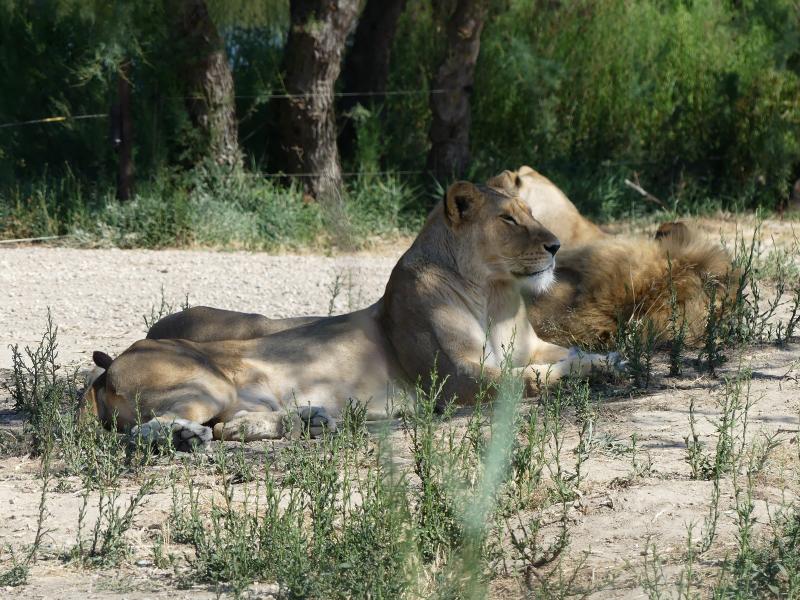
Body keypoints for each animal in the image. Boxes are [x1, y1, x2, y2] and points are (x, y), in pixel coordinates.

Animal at [82, 181, 620, 449]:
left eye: (532, 213)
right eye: (508, 219)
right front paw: (593, 370)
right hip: (207, 384)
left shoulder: (529, 345)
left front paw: (608, 359)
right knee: (146, 432)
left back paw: (313, 419)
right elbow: (531, 378)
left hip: (245, 396)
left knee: (232, 426)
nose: (555, 246)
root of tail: (106, 369)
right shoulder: (456, 378)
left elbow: (569, 350)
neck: (494, 291)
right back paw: (187, 436)